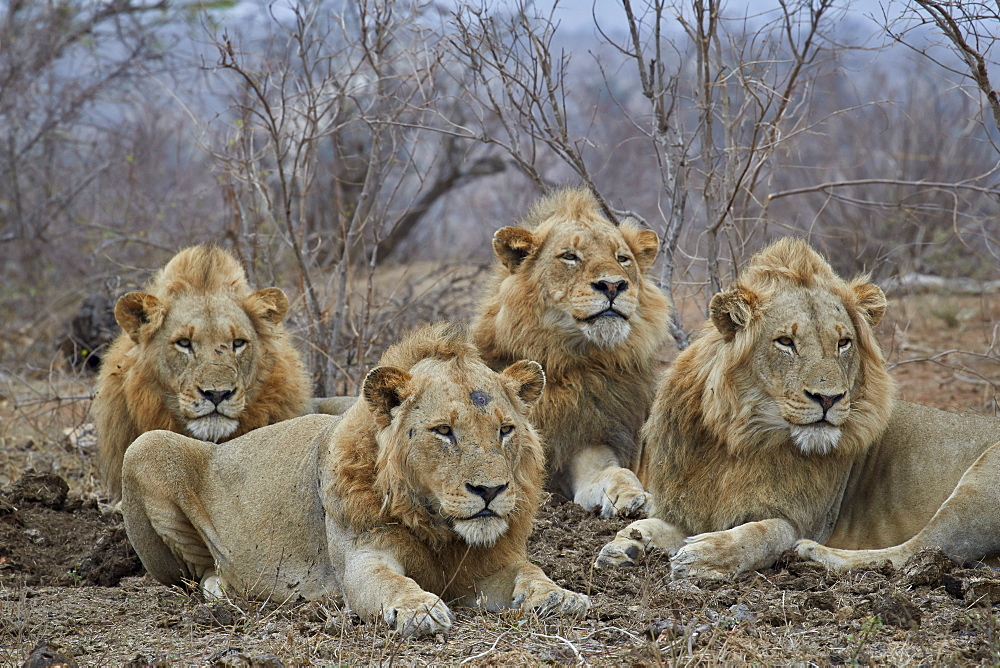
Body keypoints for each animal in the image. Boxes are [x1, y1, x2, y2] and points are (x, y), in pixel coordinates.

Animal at [121, 324, 588, 636]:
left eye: (505, 430)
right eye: (443, 431)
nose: (490, 491)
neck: (438, 527)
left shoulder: (488, 565)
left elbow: (532, 572)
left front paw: (561, 596)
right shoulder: (362, 559)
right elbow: (389, 582)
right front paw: (419, 609)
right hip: (145, 446)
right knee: (196, 574)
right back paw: (225, 588)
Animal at [468, 187, 672, 516]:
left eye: (622, 258)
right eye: (570, 257)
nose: (613, 285)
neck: (565, 362)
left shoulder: (589, 442)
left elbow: (615, 473)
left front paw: (633, 497)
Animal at [592, 237, 1000, 576]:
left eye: (844, 343)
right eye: (785, 342)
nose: (829, 398)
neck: (742, 439)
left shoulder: (807, 519)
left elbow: (765, 532)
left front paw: (708, 555)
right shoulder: (696, 506)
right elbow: (656, 525)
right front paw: (629, 542)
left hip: (979, 486)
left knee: (922, 551)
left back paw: (815, 554)